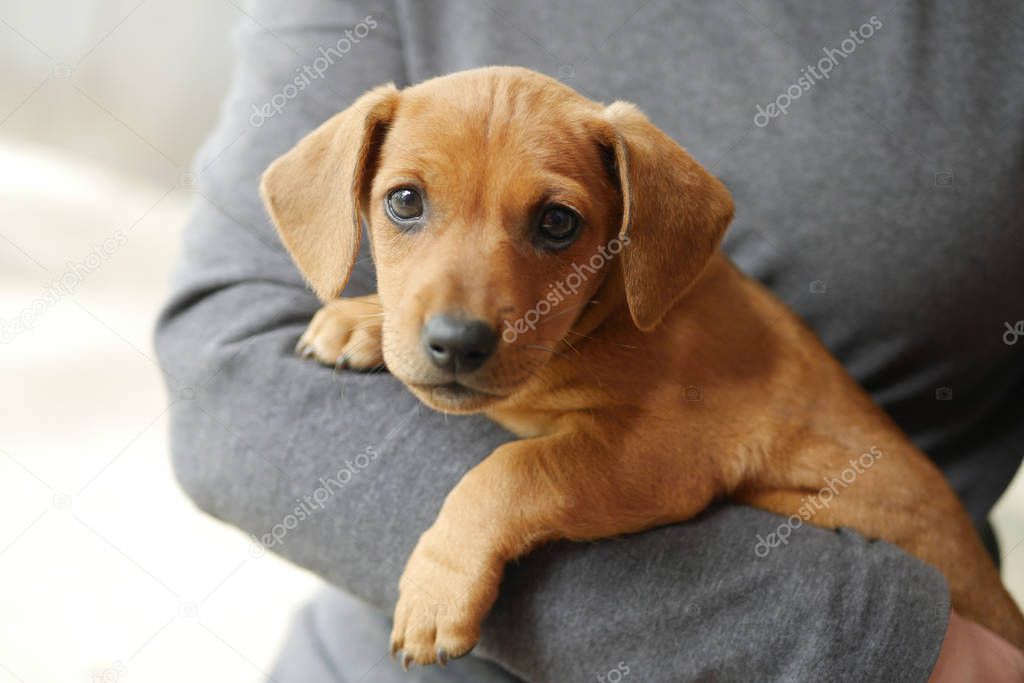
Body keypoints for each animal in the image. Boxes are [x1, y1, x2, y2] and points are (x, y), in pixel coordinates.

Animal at [258, 65, 1024, 667]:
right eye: (405, 201)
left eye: (558, 224)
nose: (457, 343)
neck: (603, 320)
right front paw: (360, 319)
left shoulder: (657, 456)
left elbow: (510, 470)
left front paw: (436, 587)